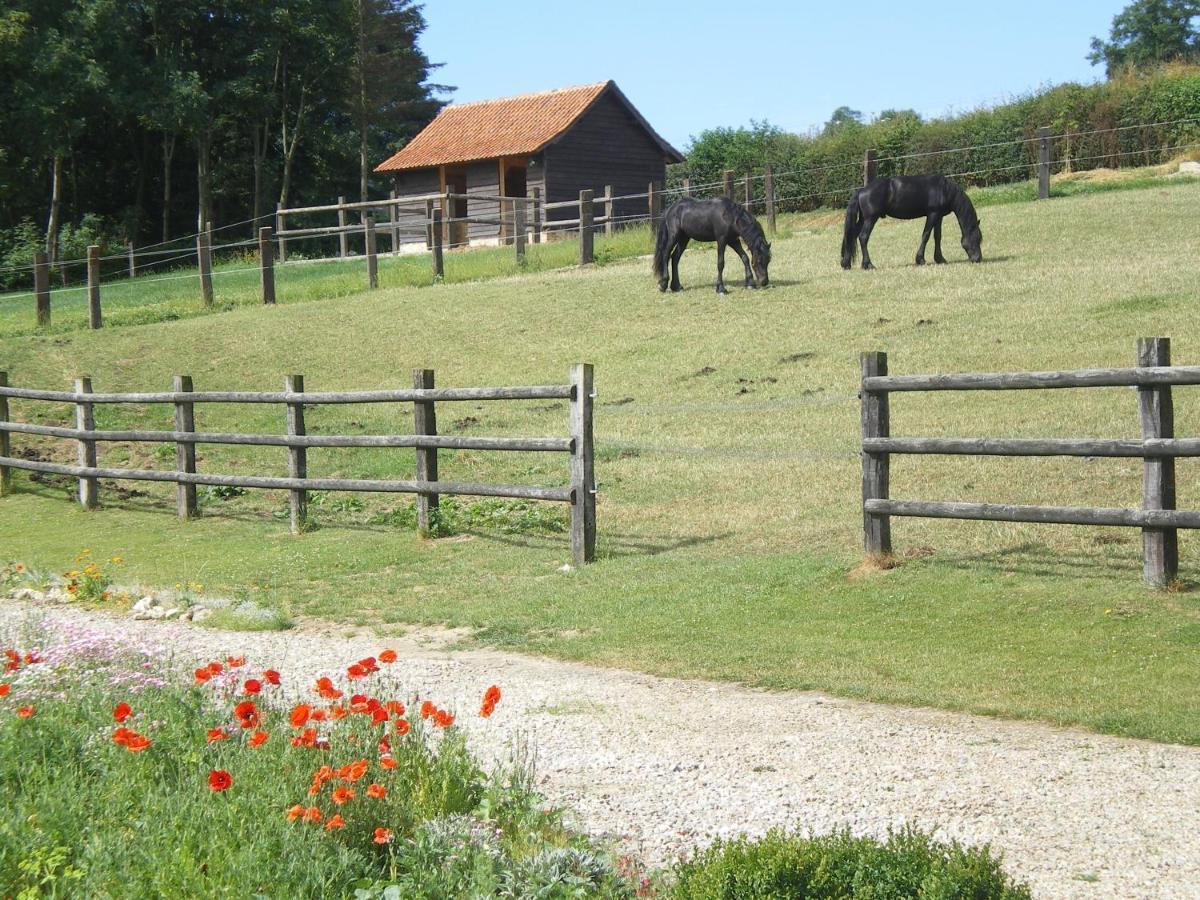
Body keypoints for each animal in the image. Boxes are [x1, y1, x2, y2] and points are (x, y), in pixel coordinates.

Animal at [840, 174, 979, 270]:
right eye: (976, 239)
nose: (978, 259)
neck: (944, 190)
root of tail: (861, 190)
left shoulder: (939, 216)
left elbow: (937, 236)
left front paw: (940, 259)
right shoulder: (932, 214)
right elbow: (926, 235)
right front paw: (920, 259)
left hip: (863, 219)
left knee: (852, 236)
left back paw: (846, 264)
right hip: (870, 219)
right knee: (863, 237)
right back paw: (868, 264)